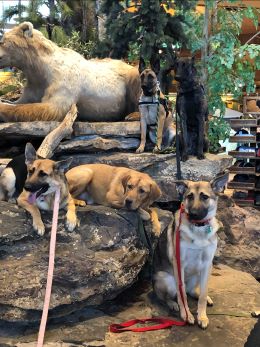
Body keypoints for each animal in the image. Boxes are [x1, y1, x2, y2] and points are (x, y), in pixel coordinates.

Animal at [0, 22, 140, 122]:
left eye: (2, 41)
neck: (41, 66)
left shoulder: (62, 80)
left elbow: (51, 107)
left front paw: (3, 107)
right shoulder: (35, 82)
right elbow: (23, 100)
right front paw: (7, 101)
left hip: (128, 76)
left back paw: (133, 115)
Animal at [153, 173, 229, 330]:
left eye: (204, 197)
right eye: (189, 196)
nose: (193, 214)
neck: (199, 228)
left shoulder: (207, 265)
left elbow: (202, 294)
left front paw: (202, 316)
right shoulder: (179, 265)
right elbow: (182, 295)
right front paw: (187, 315)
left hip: (198, 274)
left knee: (191, 291)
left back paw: (203, 297)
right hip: (167, 279)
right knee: (168, 297)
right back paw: (172, 304)